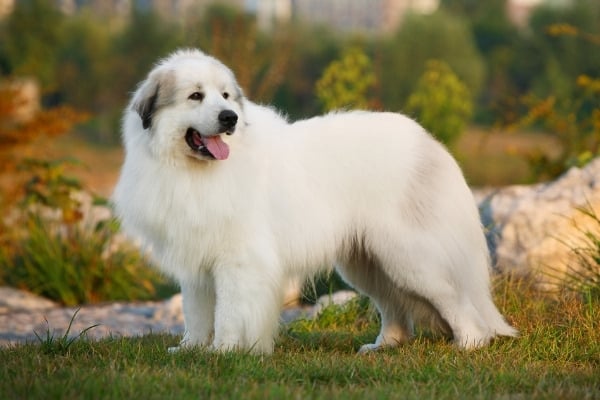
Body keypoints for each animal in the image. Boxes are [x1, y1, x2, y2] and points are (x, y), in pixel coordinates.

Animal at [112, 49, 516, 354]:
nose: (229, 118)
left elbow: (228, 313)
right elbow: (196, 313)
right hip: (368, 263)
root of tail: (431, 144)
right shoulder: (197, 261)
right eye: (195, 96)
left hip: (411, 259)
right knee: (395, 309)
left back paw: (469, 344)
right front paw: (192, 350)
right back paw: (383, 346)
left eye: (225, 96)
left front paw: (224, 352)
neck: (193, 171)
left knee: (456, 299)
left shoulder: (237, 261)